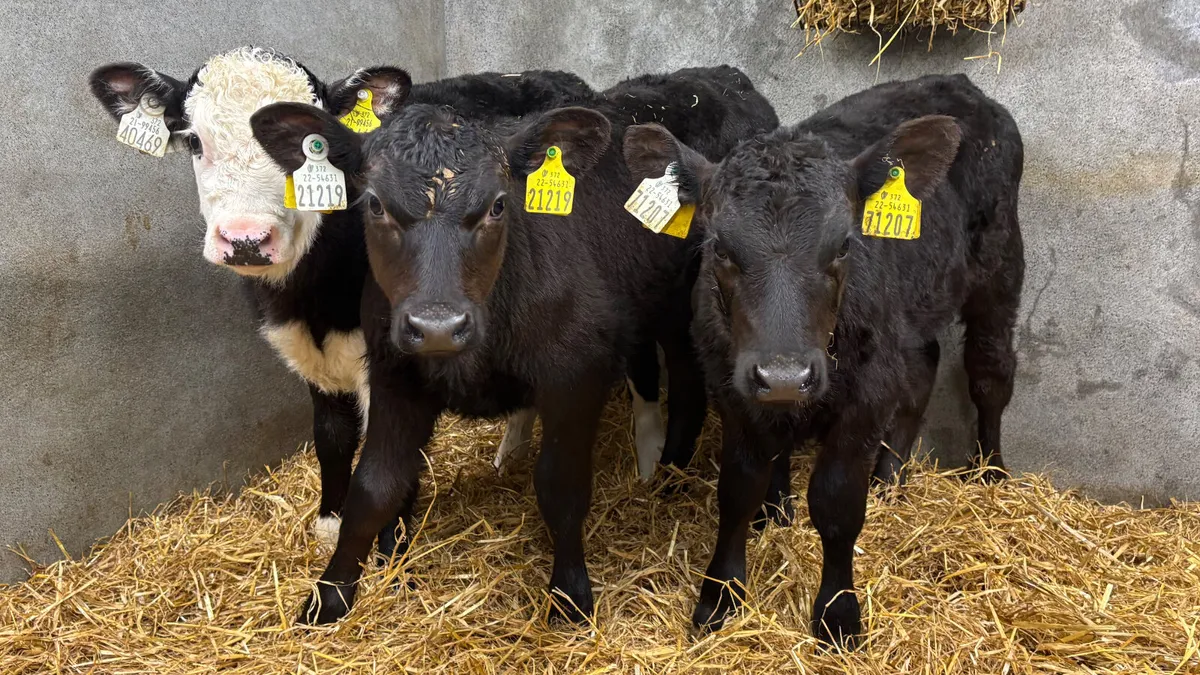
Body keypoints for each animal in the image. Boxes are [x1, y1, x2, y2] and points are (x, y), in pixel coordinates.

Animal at [86, 47, 617, 556]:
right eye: (195, 141)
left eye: (309, 154)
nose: (246, 239)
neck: (315, 298)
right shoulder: (310, 357)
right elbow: (332, 437)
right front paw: (330, 522)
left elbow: (392, 460)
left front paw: (390, 549)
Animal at [249, 64, 779, 626]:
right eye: (374, 204)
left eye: (498, 205)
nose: (437, 326)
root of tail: (718, 75)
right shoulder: (394, 374)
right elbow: (373, 490)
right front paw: (328, 597)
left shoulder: (575, 378)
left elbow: (561, 488)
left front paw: (570, 597)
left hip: (683, 306)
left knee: (686, 386)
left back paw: (669, 471)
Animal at [622, 73, 1024, 647]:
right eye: (719, 247)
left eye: (844, 245)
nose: (785, 375)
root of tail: (959, 82)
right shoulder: (733, 390)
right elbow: (737, 491)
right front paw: (720, 597)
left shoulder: (864, 400)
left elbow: (836, 505)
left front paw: (837, 615)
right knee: (923, 365)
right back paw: (888, 479)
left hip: (999, 263)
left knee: (990, 371)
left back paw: (989, 471)